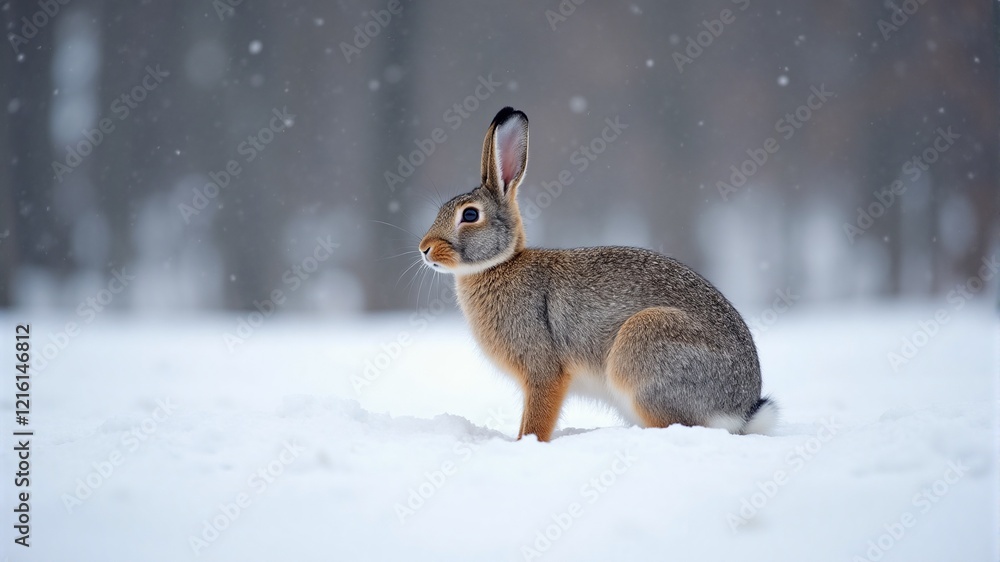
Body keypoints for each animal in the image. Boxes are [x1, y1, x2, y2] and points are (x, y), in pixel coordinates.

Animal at [418, 106, 778, 442]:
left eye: (470, 215)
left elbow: (536, 418)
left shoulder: (544, 371)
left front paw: (524, 444)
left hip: (645, 350)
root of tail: (741, 410)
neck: (499, 263)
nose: (424, 248)